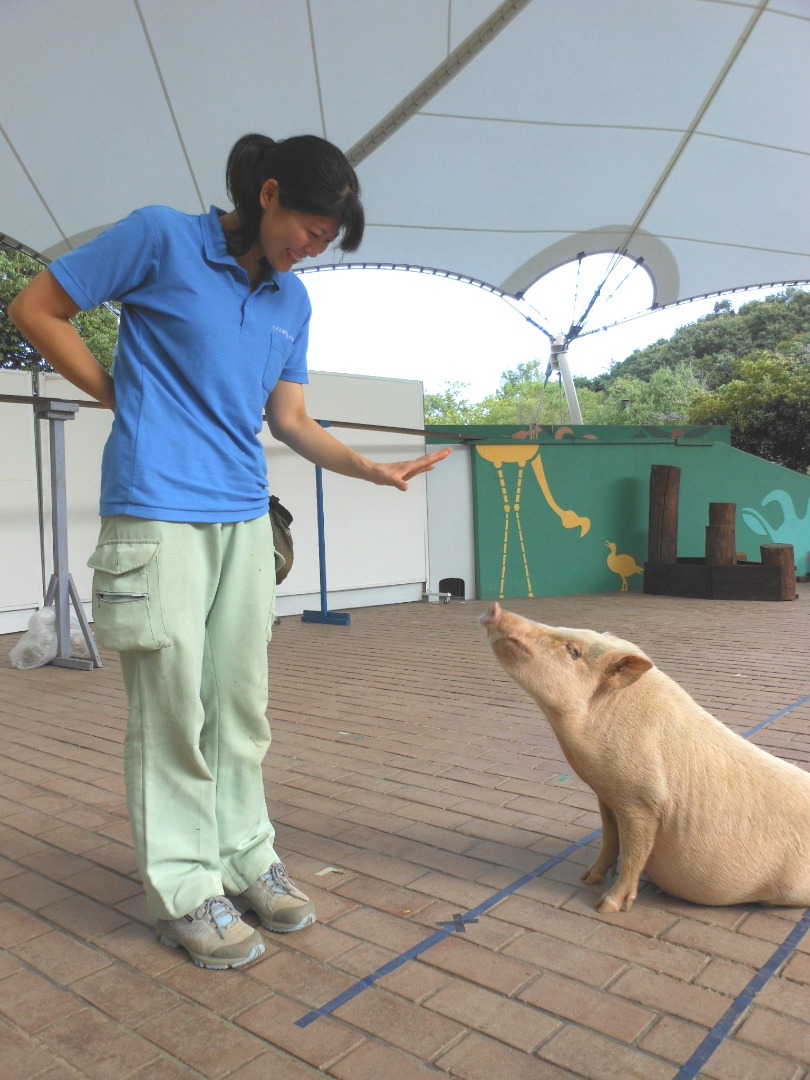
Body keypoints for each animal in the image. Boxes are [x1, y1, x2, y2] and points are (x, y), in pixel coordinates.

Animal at [479, 600, 810, 911]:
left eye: (573, 650)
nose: (495, 608)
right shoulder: (607, 796)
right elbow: (609, 838)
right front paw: (587, 879)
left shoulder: (642, 799)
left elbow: (634, 853)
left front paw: (606, 906)